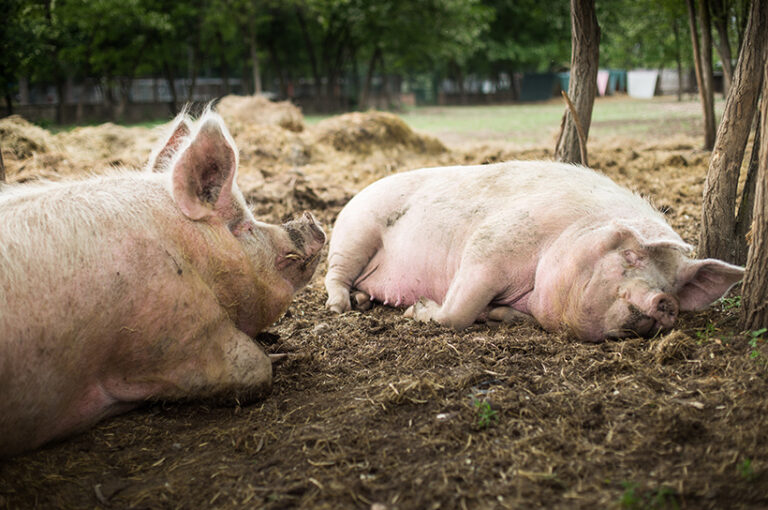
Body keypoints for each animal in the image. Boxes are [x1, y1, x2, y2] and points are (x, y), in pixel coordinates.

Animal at [326, 159, 744, 342]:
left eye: (673, 285)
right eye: (631, 256)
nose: (664, 300)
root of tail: (360, 191)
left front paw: (498, 317)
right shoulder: (488, 247)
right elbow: (457, 312)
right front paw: (417, 311)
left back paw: (362, 300)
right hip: (354, 233)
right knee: (334, 276)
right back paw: (342, 307)